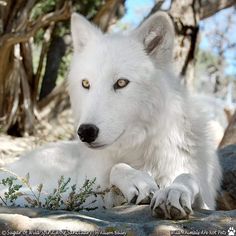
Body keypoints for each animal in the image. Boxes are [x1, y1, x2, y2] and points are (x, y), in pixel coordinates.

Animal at [0, 12, 221, 219]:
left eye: (121, 83)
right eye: (86, 84)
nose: (85, 132)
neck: (140, 148)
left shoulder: (206, 200)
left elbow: (187, 177)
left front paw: (174, 191)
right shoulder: (97, 194)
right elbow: (117, 168)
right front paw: (139, 181)